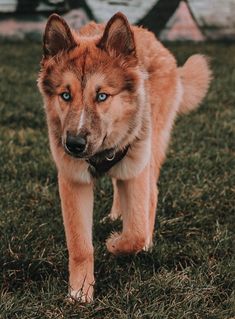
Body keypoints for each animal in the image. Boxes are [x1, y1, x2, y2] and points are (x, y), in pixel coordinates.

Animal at [38, 11, 211, 302]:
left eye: (102, 96)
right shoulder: (73, 180)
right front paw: (79, 292)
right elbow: (80, 245)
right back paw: (116, 215)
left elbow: (136, 232)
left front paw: (115, 243)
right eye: (65, 95)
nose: (73, 145)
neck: (101, 153)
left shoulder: (136, 170)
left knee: (151, 195)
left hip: (151, 148)